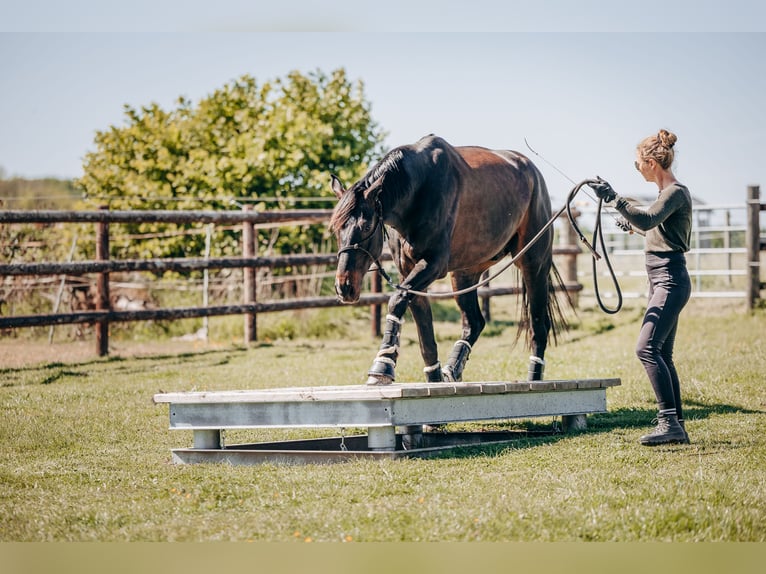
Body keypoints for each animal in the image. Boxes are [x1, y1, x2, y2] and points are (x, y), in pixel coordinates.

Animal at [329, 134, 568, 386]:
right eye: (335, 229)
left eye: (366, 227)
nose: (344, 287)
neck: (416, 190)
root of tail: (533, 172)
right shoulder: (410, 272)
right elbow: (425, 335)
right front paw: (433, 378)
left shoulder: (433, 264)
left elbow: (396, 300)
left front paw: (382, 365)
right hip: (465, 273)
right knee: (474, 323)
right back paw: (453, 369)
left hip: (534, 263)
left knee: (539, 324)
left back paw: (534, 376)